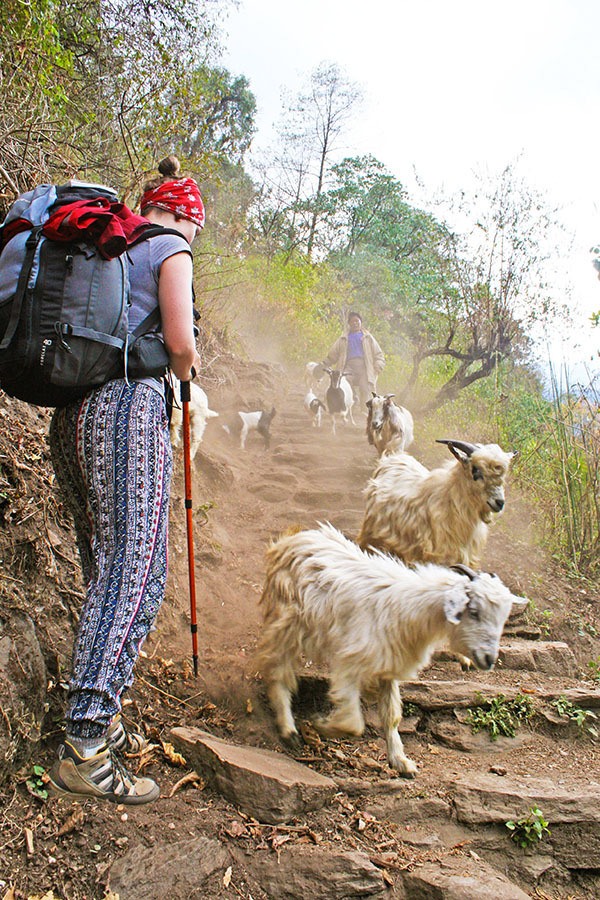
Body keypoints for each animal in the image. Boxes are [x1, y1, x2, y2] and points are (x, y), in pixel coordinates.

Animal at [258, 524, 524, 776]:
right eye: (474, 612)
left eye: (503, 618)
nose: (489, 659)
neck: (410, 610)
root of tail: (291, 539)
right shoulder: (349, 662)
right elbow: (354, 723)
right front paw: (320, 724)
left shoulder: (388, 667)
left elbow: (392, 716)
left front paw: (401, 762)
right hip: (286, 621)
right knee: (278, 670)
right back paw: (288, 729)